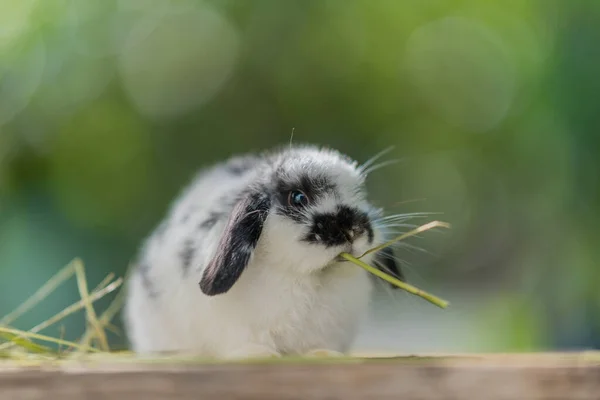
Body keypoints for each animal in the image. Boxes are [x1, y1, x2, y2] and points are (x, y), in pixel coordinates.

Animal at [121, 144, 404, 360]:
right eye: (298, 198)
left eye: (359, 196)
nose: (354, 230)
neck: (308, 278)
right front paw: (258, 354)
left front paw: (323, 354)